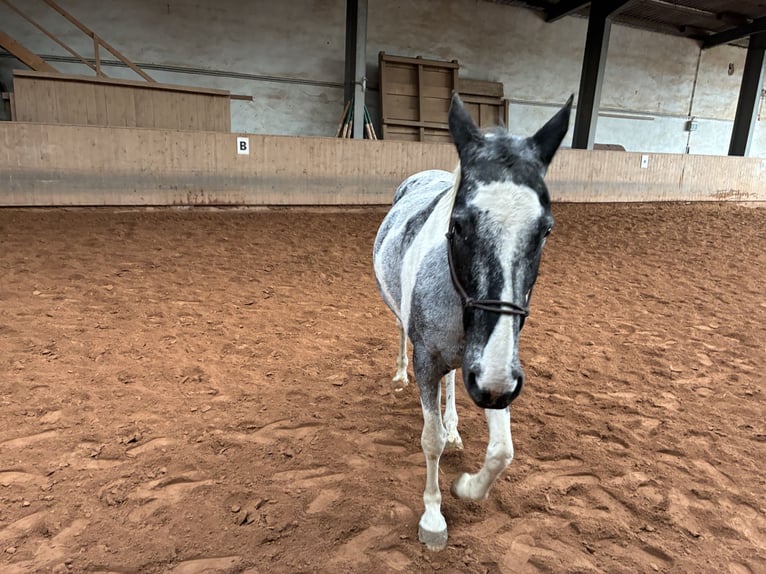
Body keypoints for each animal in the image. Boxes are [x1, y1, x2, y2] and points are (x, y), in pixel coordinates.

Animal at [372, 92, 572, 550]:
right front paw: (433, 518)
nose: (492, 383)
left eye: (545, 230)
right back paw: (399, 376)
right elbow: (429, 441)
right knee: (401, 335)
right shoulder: (435, 360)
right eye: (459, 224)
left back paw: (455, 428)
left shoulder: (495, 371)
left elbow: (502, 451)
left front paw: (465, 486)